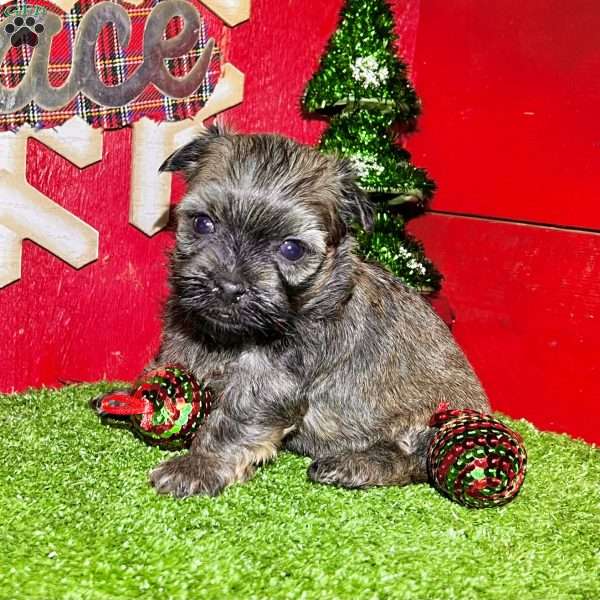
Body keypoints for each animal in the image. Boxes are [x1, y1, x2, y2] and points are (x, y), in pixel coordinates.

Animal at [97, 125, 488, 496]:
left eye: (292, 249)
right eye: (203, 223)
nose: (228, 286)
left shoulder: (272, 378)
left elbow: (234, 420)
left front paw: (199, 466)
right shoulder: (185, 333)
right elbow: (170, 361)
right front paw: (130, 396)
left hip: (432, 423)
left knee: (414, 461)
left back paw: (352, 464)